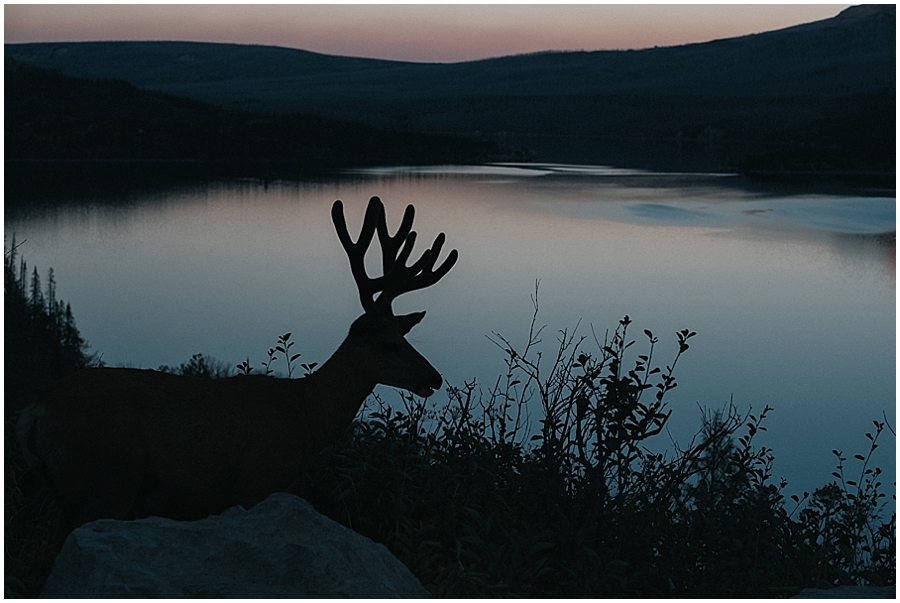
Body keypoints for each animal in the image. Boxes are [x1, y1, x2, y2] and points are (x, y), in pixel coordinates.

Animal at [15, 197, 458, 536]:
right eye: (388, 344)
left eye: (406, 337)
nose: (434, 377)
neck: (307, 418)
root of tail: (36, 408)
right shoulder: (254, 483)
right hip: (102, 481)